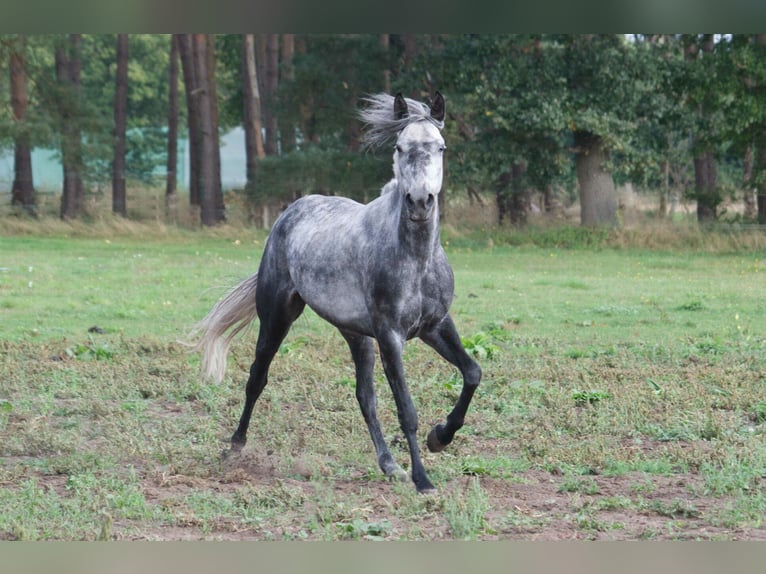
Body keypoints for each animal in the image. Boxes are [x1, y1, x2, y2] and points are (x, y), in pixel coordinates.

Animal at [189, 91, 484, 496]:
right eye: (399, 146)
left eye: (440, 146)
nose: (420, 202)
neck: (416, 258)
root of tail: (292, 210)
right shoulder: (391, 336)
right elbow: (407, 409)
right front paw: (423, 480)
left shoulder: (435, 326)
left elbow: (472, 373)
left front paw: (440, 437)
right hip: (278, 317)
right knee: (257, 378)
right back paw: (234, 448)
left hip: (356, 335)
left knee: (365, 397)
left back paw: (390, 465)